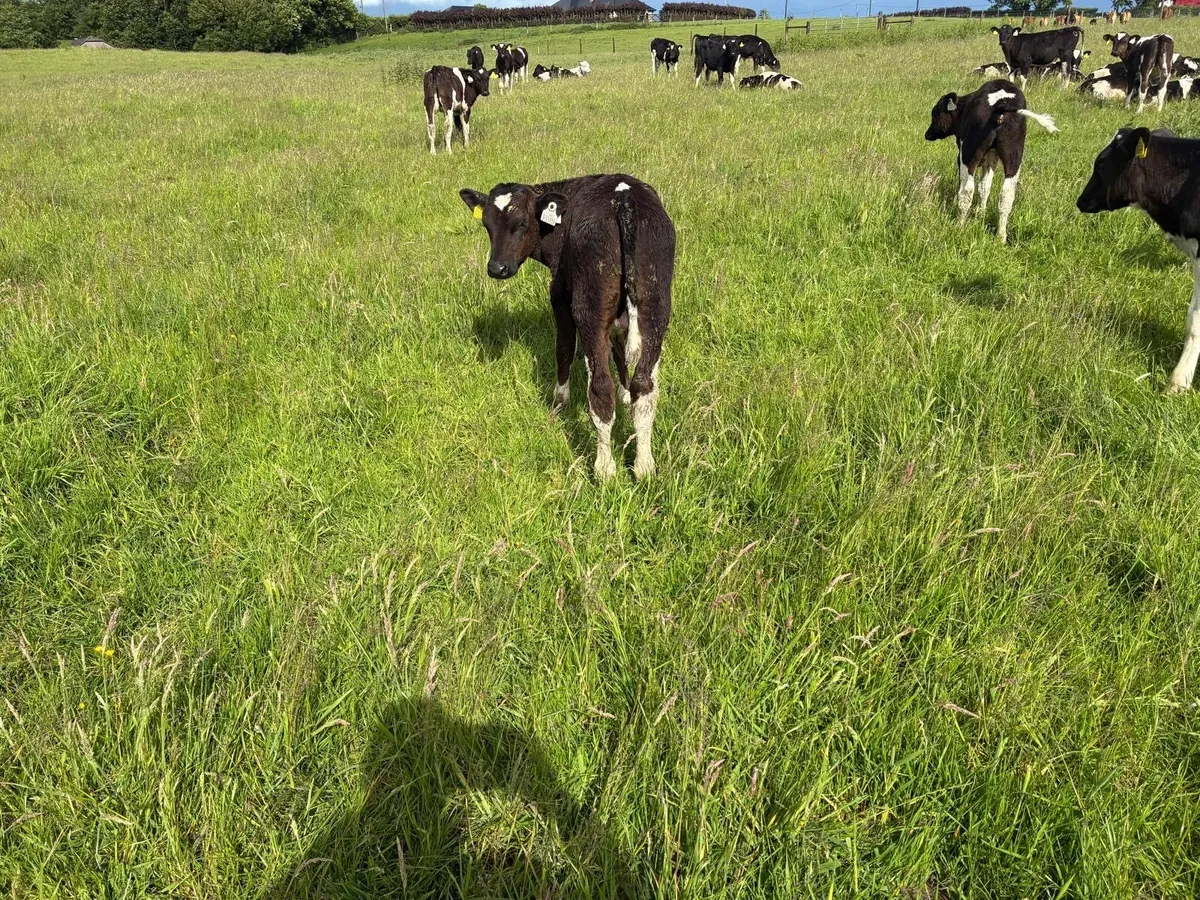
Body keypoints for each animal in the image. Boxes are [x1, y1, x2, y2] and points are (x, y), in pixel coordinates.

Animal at [459, 175, 675, 479]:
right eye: (487, 224)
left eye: (521, 223)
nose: (497, 268)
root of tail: (624, 197)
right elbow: (619, 354)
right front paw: (624, 394)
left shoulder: (559, 294)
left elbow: (563, 349)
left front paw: (559, 402)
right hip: (655, 307)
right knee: (645, 387)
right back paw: (644, 465)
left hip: (589, 309)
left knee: (600, 388)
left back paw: (605, 469)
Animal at [925, 79, 1058, 243]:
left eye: (935, 113)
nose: (927, 134)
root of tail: (1001, 105)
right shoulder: (991, 158)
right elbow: (985, 186)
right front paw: (981, 214)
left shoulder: (963, 157)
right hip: (1014, 156)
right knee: (1007, 194)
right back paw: (1001, 236)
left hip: (969, 155)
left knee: (967, 190)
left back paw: (959, 226)